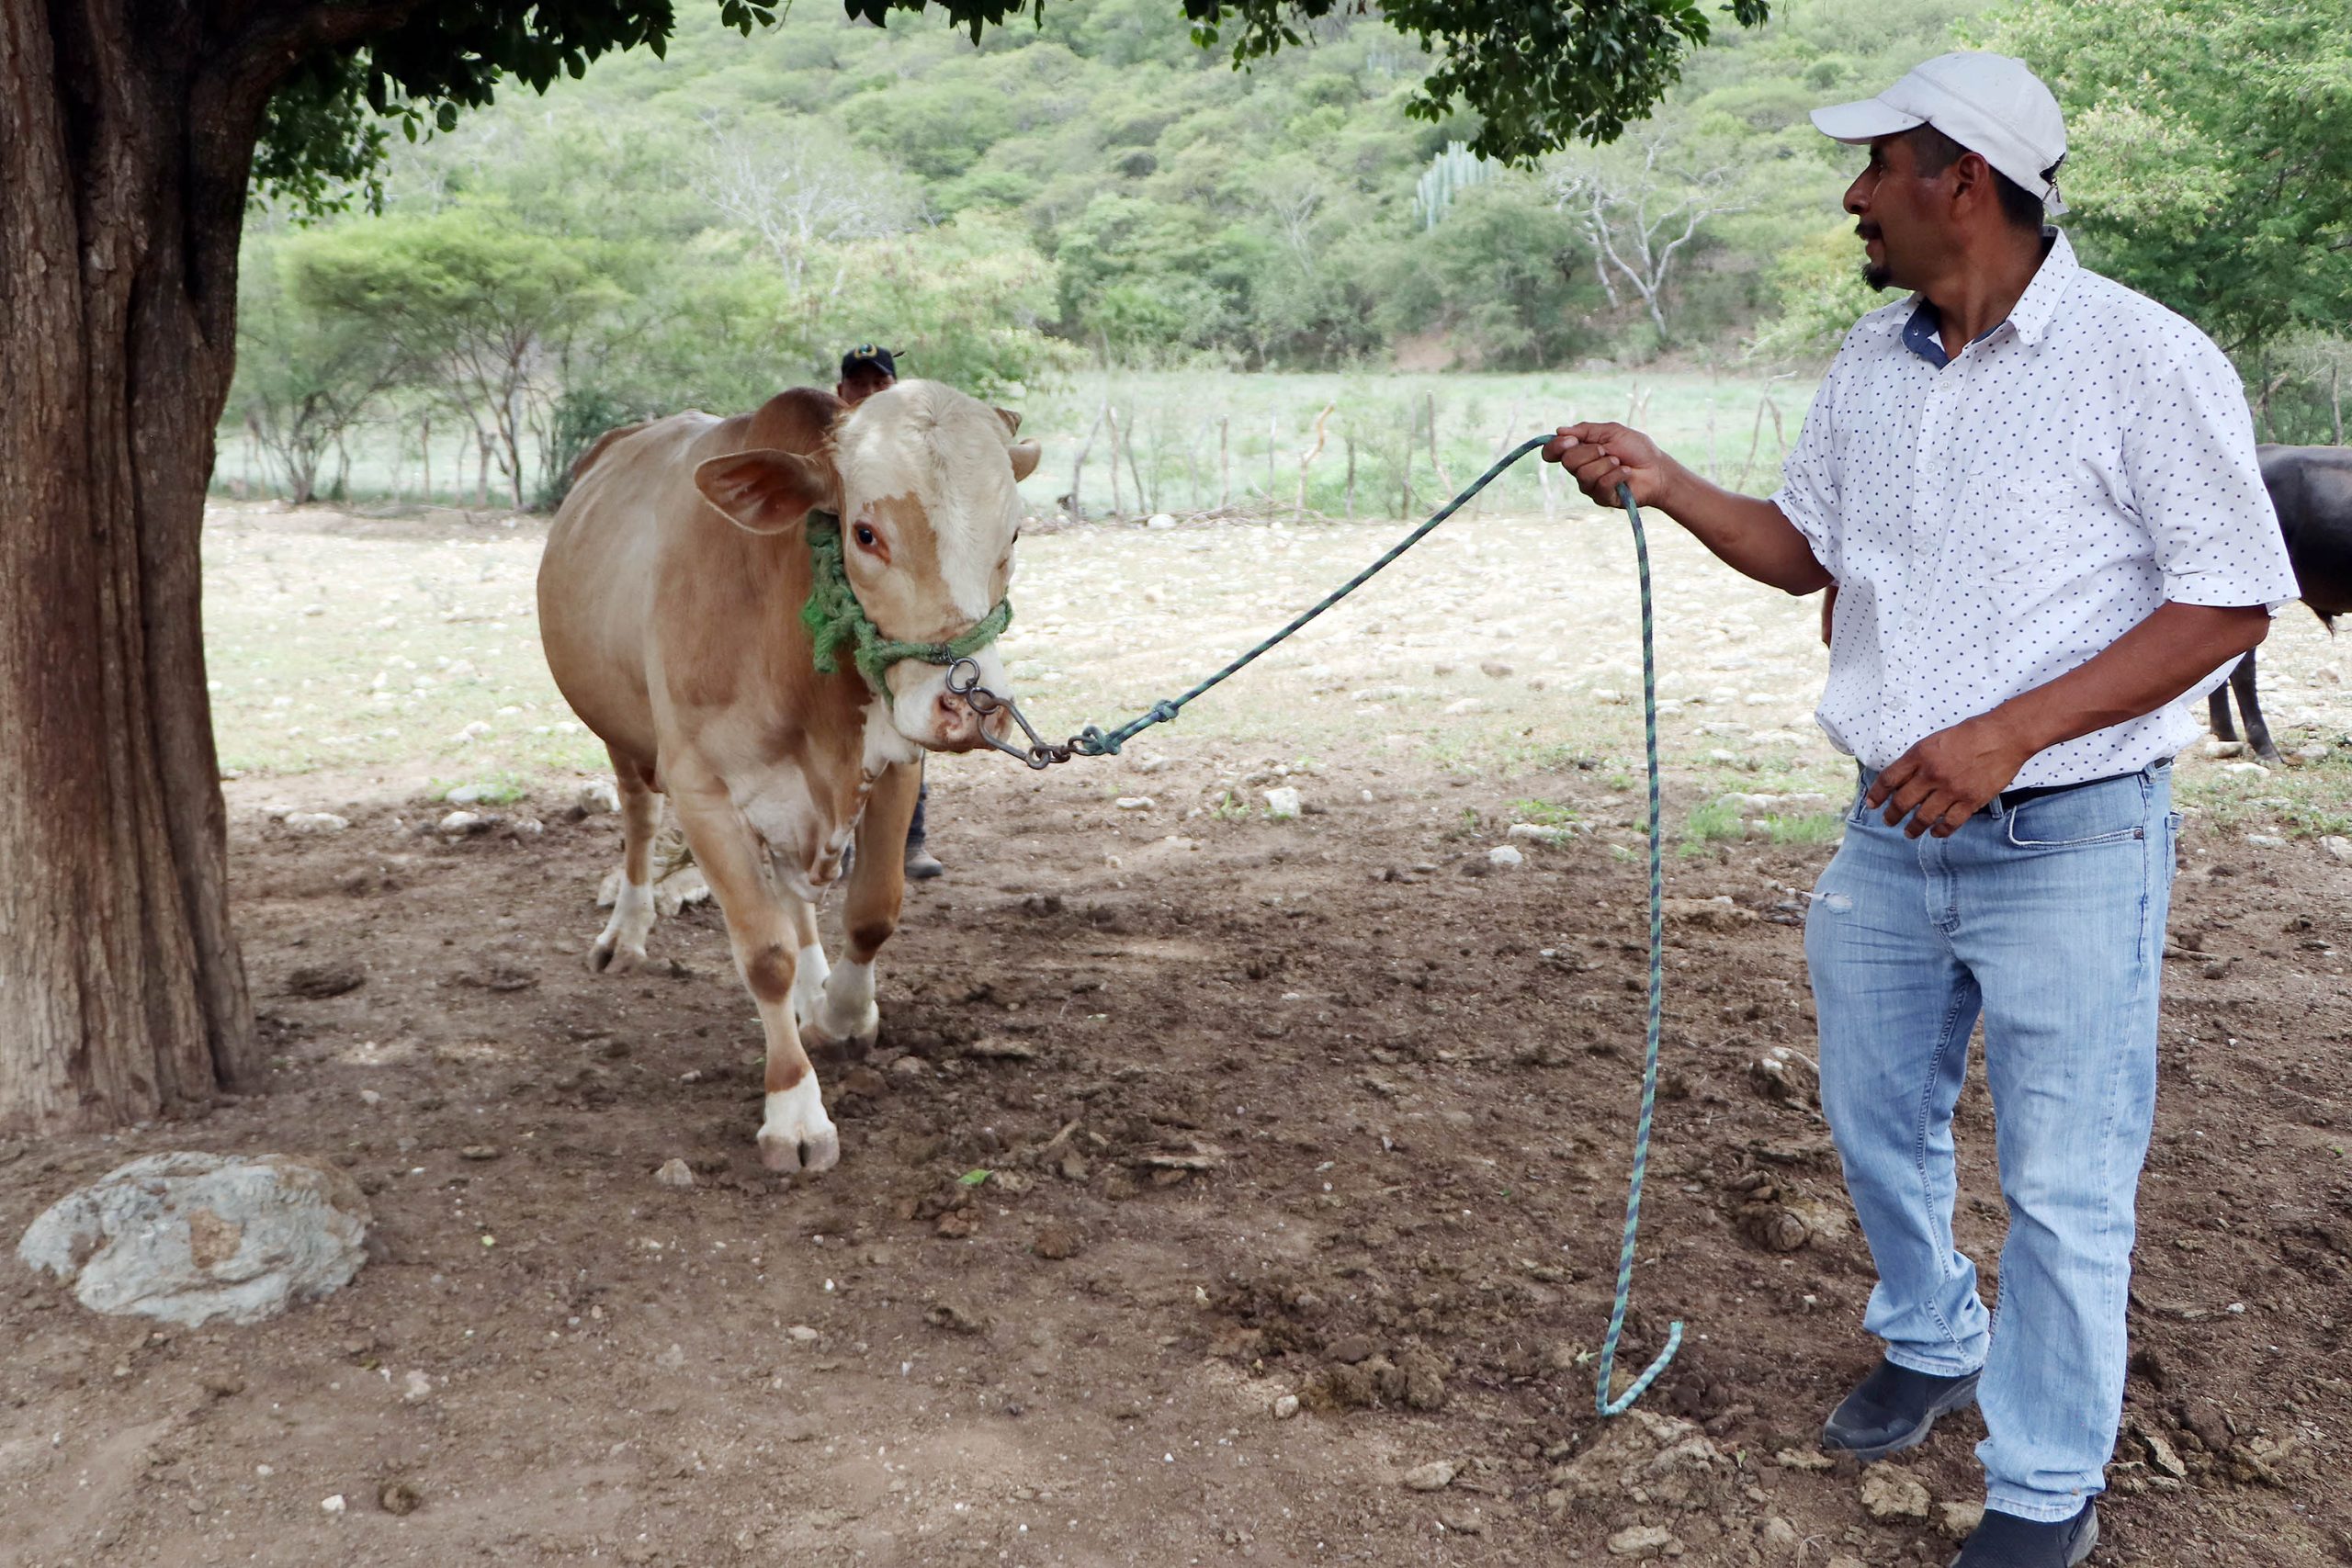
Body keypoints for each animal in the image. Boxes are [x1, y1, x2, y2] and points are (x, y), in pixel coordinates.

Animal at [545, 376, 1044, 1166]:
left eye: (1014, 534)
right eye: (865, 533)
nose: (975, 702)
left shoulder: (896, 759)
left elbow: (872, 910)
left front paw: (843, 1014)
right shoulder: (702, 789)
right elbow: (764, 952)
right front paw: (795, 1110)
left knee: (794, 887)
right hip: (620, 734)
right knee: (639, 819)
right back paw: (625, 933)